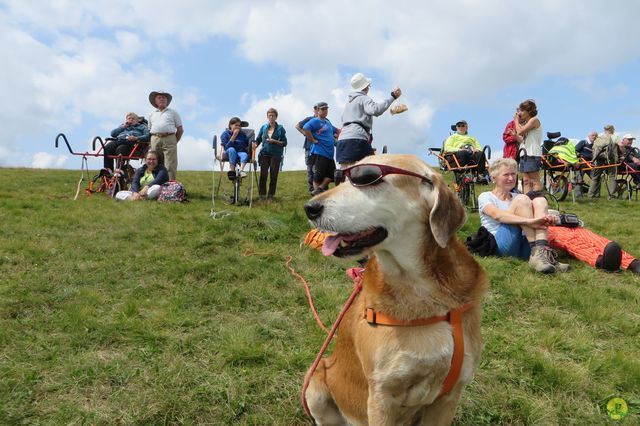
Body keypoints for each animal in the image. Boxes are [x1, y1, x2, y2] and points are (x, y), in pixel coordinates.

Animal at [302, 155, 488, 424]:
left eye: (366, 178)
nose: (310, 207)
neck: (421, 289)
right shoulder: (382, 397)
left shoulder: (449, 396)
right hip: (315, 381)